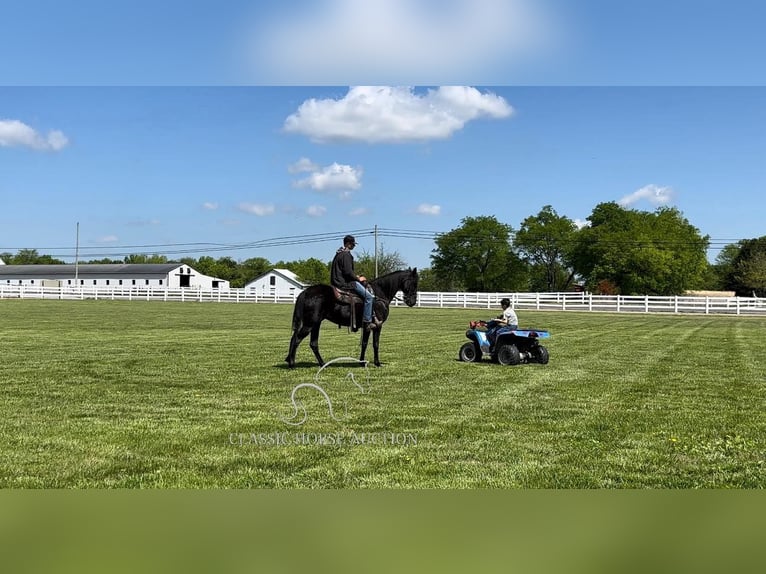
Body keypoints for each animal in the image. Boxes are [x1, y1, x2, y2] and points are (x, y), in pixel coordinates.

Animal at [286, 268, 420, 368]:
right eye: (414, 283)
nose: (412, 302)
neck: (379, 295)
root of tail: (306, 292)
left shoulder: (368, 327)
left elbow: (366, 344)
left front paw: (364, 362)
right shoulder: (376, 325)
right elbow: (374, 344)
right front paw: (375, 363)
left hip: (315, 324)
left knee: (312, 343)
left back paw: (322, 363)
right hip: (310, 324)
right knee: (296, 339)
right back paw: (292, 363)